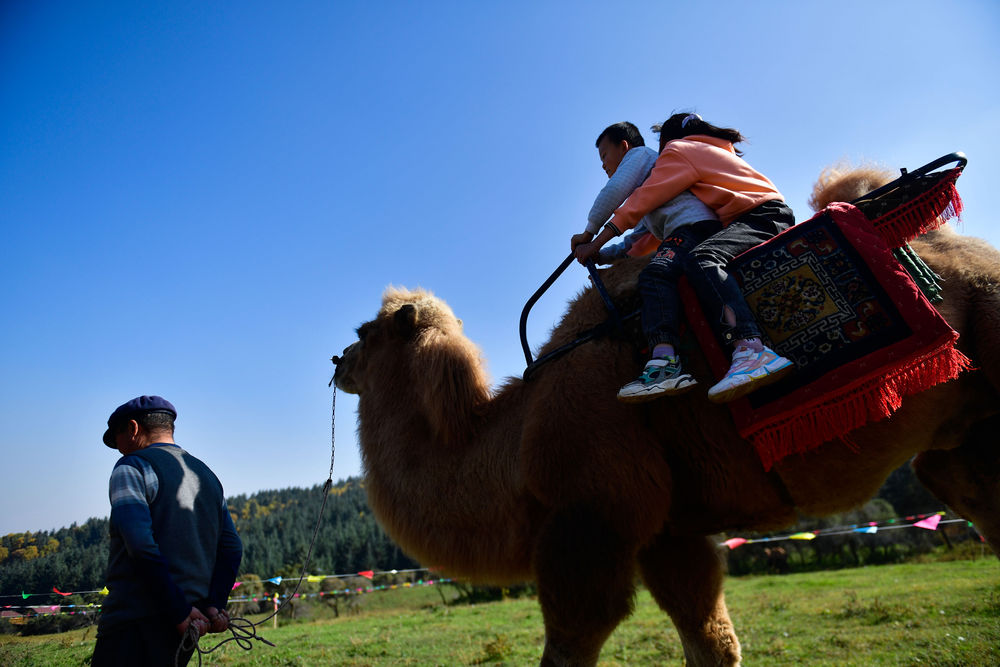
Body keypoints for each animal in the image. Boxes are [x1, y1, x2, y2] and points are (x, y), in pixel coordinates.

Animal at [332, 164, 996, 664]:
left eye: (366, 332)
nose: (338, 360)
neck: (513, 439)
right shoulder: (670, 533)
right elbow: (711, 642)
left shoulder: (593, 517)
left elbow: (573, 640)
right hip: (956, 439)